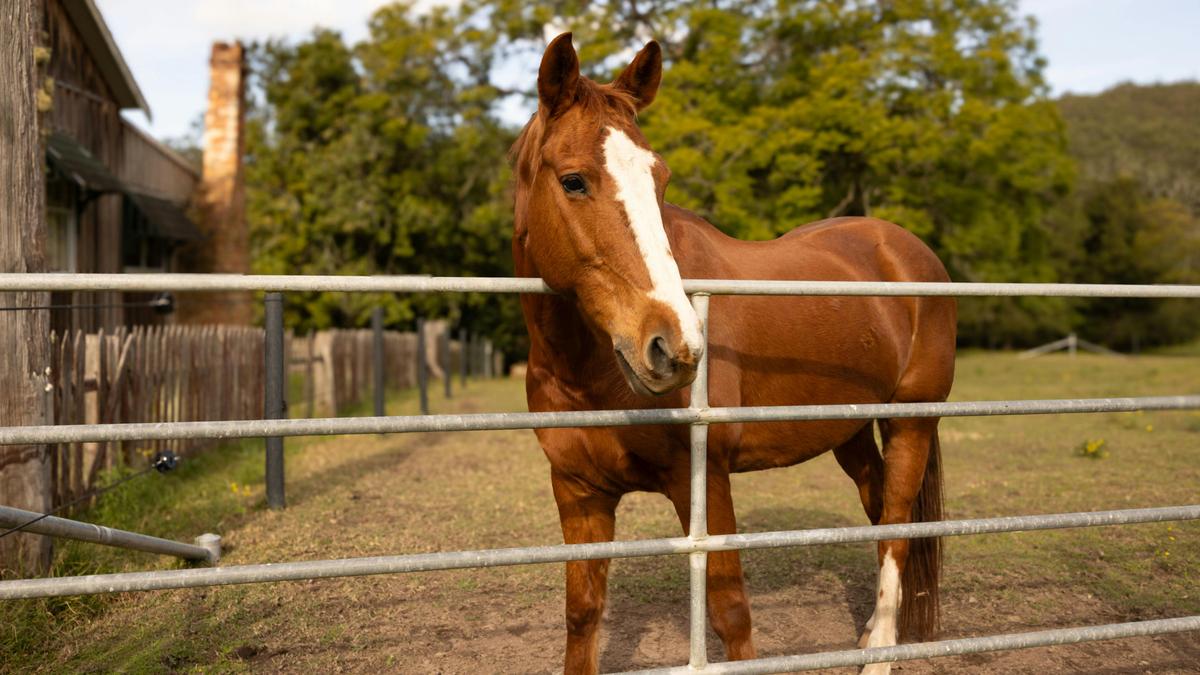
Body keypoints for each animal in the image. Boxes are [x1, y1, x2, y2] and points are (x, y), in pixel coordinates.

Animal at [511, 33, 957, 674]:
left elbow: (731, 615)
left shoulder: (703, 480)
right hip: (849, 430)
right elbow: (583, 616)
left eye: (660, 180)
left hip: (911, 423)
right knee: (878, 511)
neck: (586, 370)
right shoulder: (578, 492)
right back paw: (873, 632)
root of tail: (906, 249)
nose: (674, 345)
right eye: (573, 181)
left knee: (896, 524)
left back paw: (880, 654)